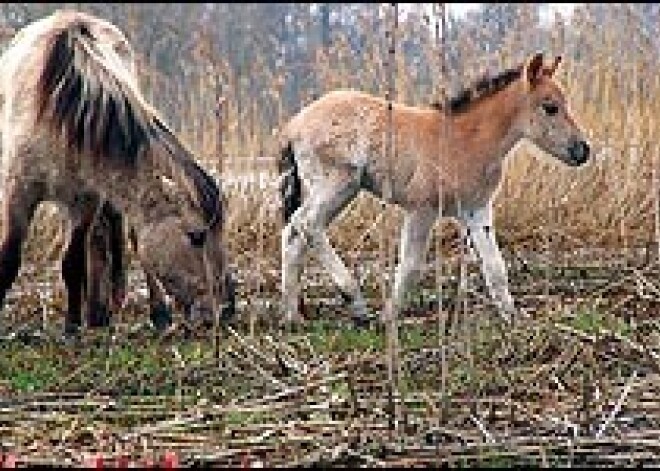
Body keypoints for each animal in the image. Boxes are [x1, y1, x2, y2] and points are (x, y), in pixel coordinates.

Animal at [0, 11, 232, 336]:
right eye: (197, 236)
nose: (226, 310)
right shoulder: (18, 191)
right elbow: (9, 260)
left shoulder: (85, 200)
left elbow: (73, 262)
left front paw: (72, 328)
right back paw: (98, 313)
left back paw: (150, 313)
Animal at [278, 51, 592, 326]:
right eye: (550, 107)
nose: (583, 150)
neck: (463, 140)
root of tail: (293, 125)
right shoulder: (422, 210)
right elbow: (411, 266)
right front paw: (388, 318)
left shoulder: (476, 211)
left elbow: (496, 268)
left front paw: (512, 321)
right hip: (338, 184)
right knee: (307, 225)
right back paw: (355, 303)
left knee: (293, 232)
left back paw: (292, 317)